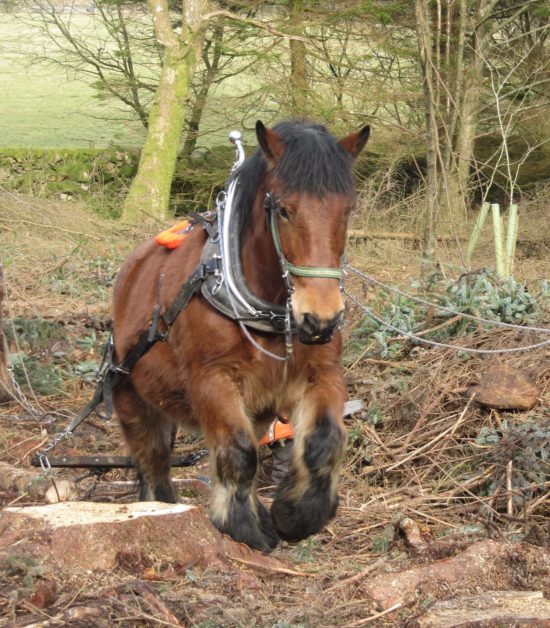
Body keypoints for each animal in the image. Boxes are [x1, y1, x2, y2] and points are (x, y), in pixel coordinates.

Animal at [112, 118, 370, 548]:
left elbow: (325, 441)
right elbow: (238, 452)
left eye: (348, 209)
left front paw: (296, 514)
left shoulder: (322, 375)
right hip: (132, 397)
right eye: (283, 209)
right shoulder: (211, 380)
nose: (320, 320)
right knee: (153, 465)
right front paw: (241, 524)